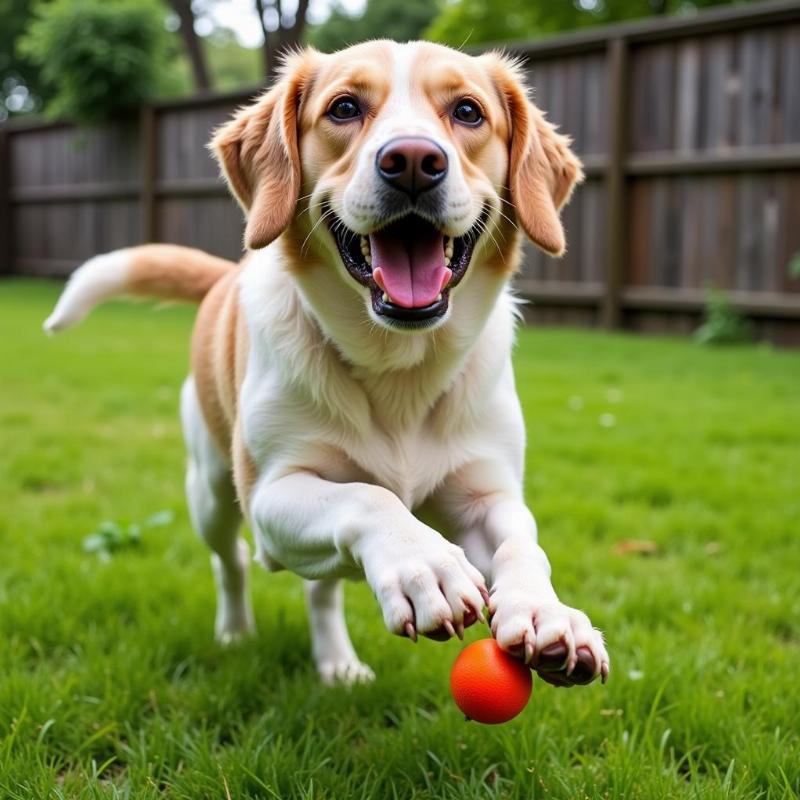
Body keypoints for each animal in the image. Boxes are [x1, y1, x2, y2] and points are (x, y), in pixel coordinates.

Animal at [47, 39, 608, 688]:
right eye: (344, 108)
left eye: (467, 112)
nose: (412, 160)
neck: (399, 369)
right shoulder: (272, 497)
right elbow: (368, 498)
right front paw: (424, 563)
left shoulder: (487, 494)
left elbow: (523, 544)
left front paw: (548, 613)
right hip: (210, 491)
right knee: (231, 563)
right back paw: (235, 631)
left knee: (324, 586)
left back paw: (336, 662)